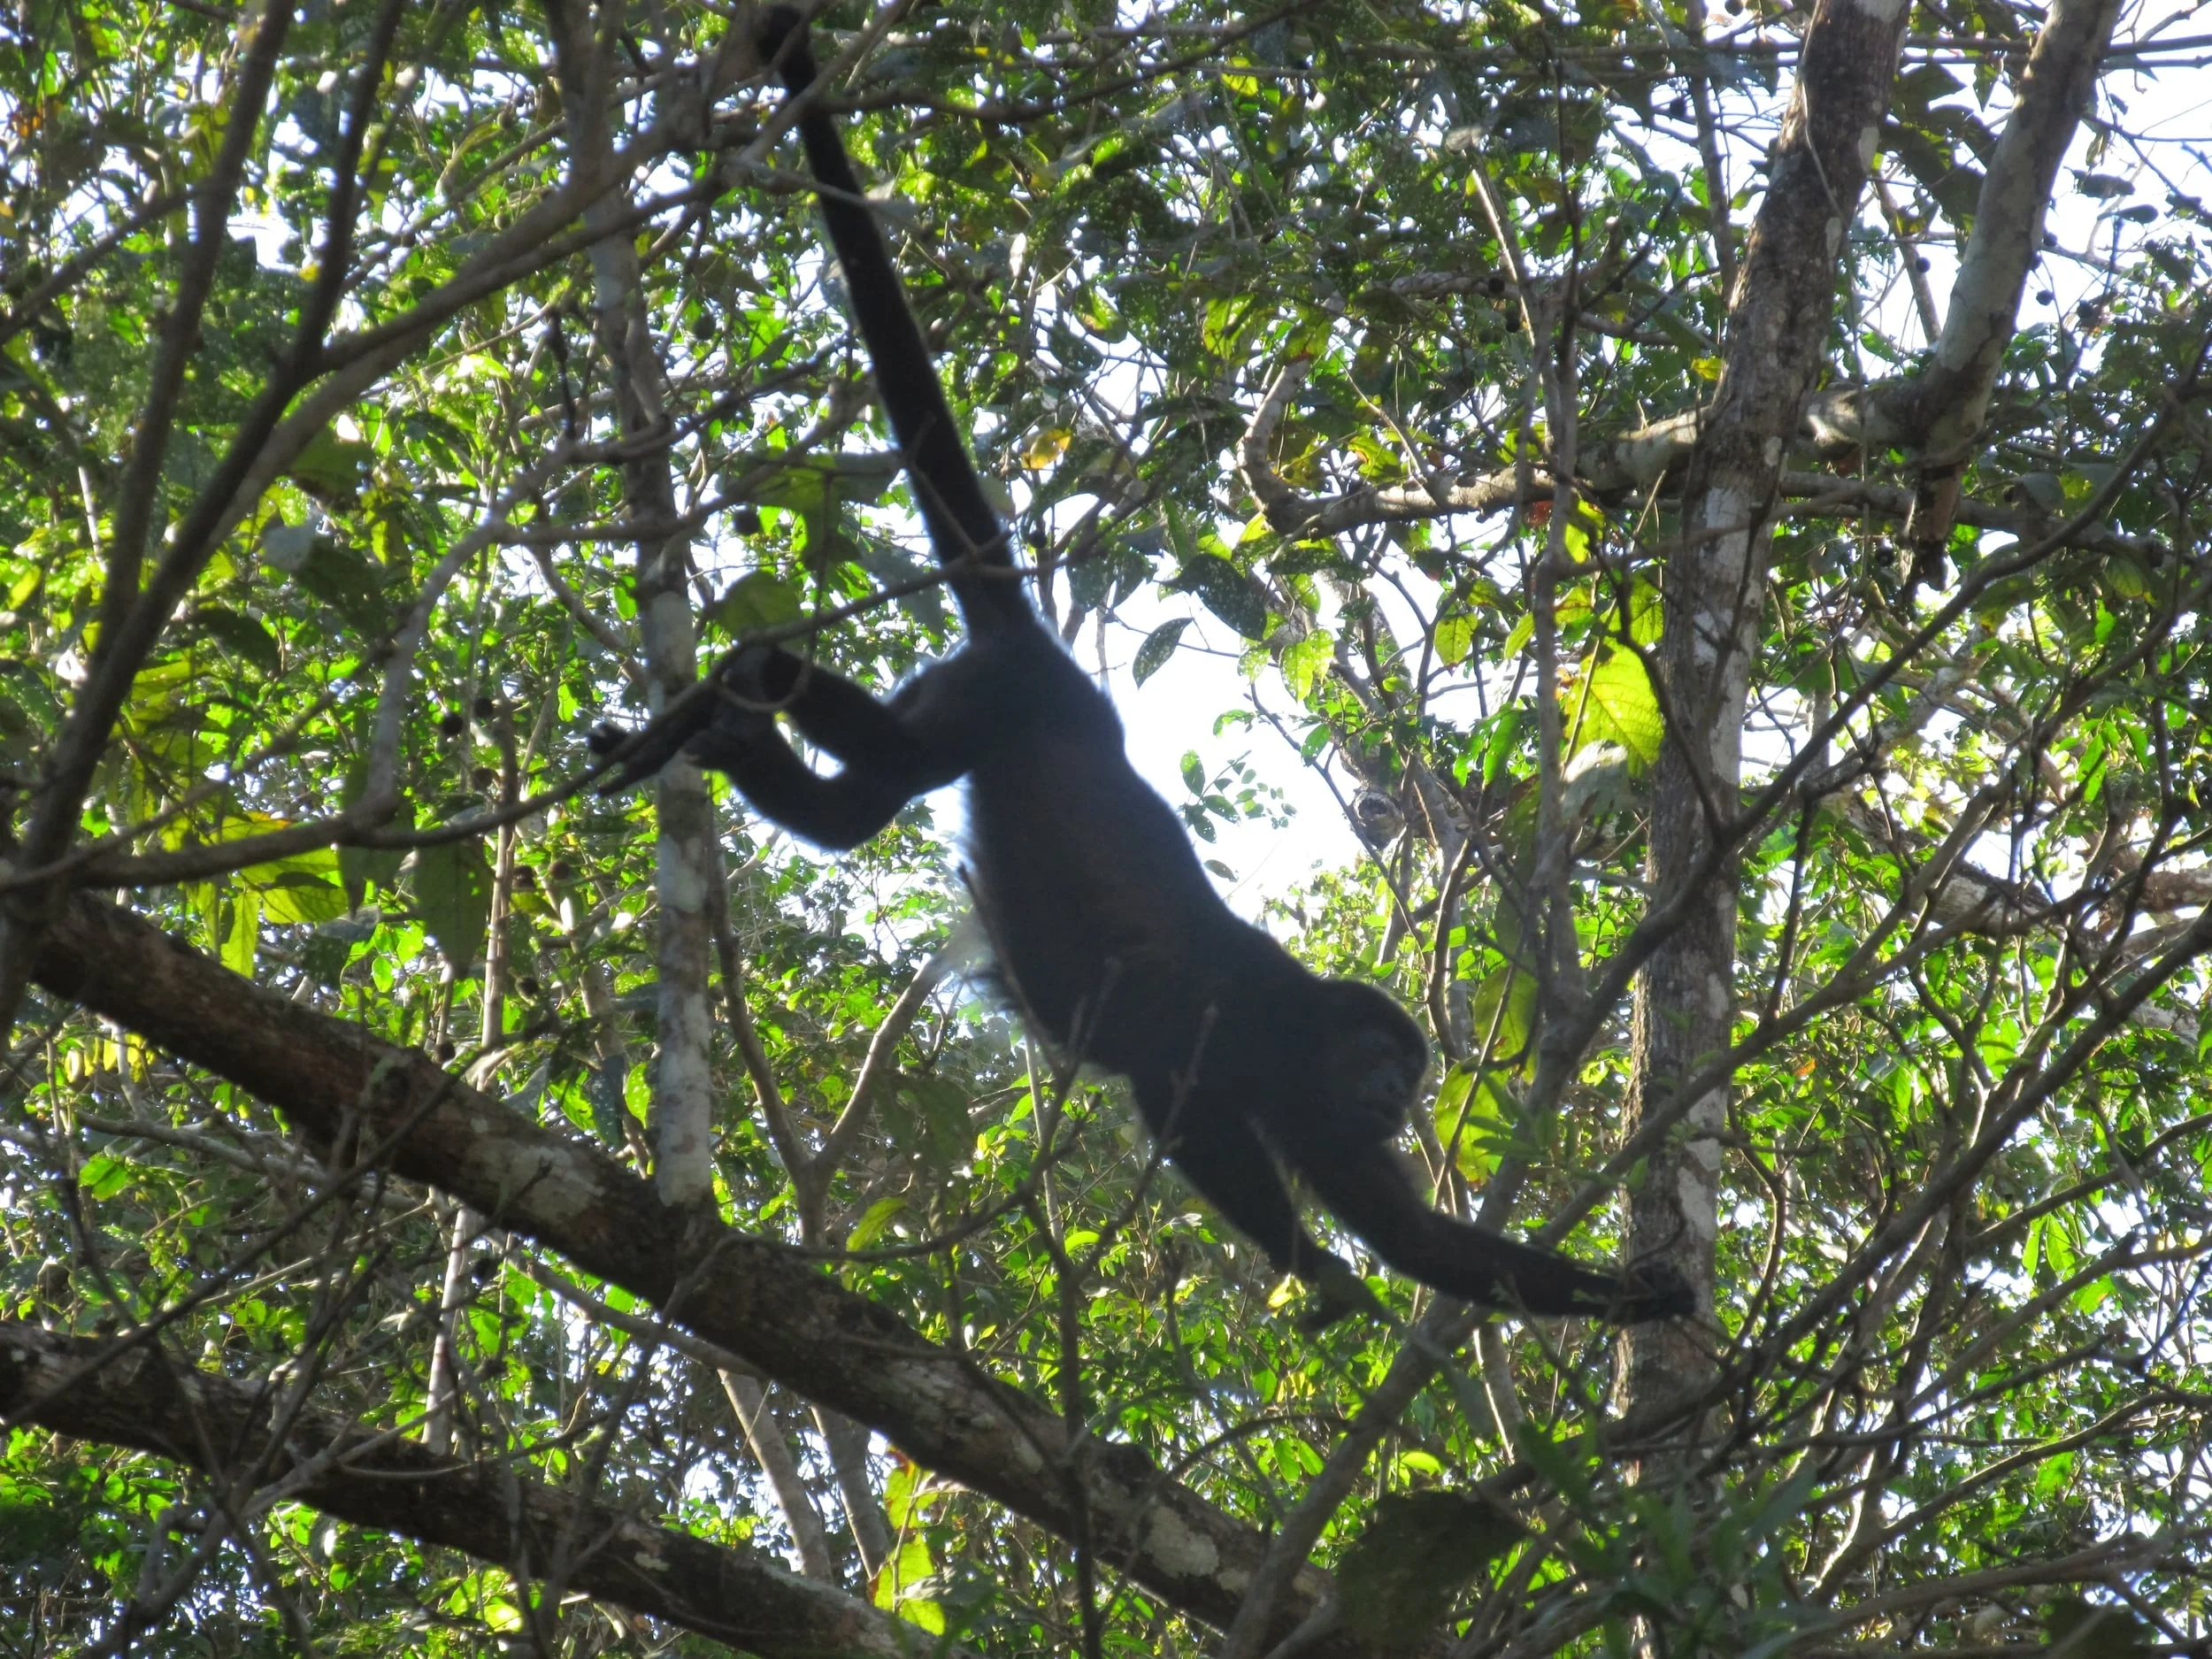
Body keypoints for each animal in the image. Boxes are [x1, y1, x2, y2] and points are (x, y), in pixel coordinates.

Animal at [598, 8, 1692, 1328]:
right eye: (1386, 1059)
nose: (1401, 1095)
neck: (1305, 1033)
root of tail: (1060, 669)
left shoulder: (1323, 1117)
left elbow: (1418, 1237)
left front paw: (1639, 1294)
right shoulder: (1237, 1030)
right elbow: (1189, 1117)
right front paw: (1313, 1264)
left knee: (863, 804)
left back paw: (747, 726)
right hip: (991, 701)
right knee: (896, 760)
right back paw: (744, 684)